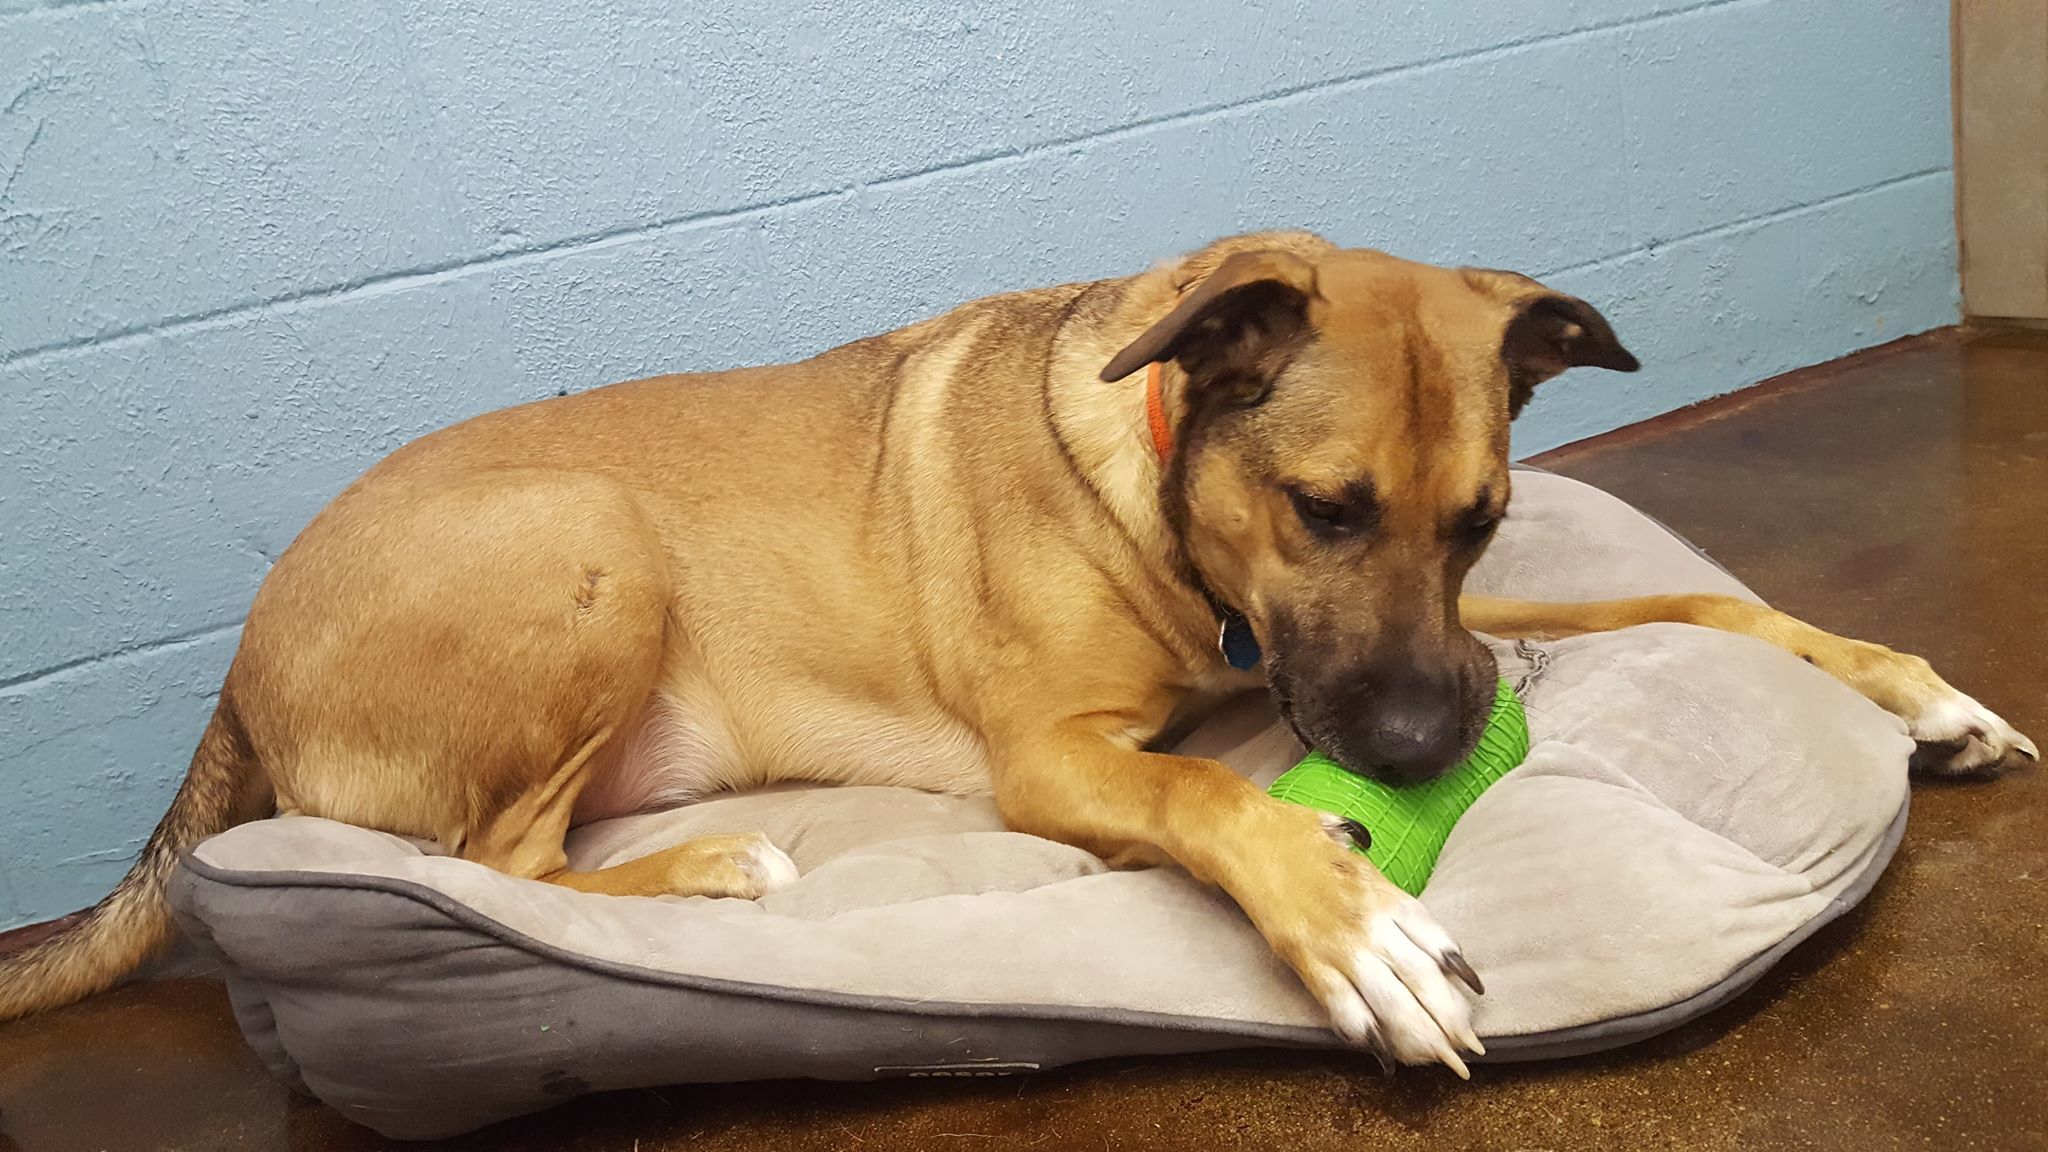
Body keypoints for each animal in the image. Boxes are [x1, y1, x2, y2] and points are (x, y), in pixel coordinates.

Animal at [8, 228, 2039, 1074]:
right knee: (493, 857)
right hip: (583, 542)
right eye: (1323, 509)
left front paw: (1908, 683)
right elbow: (1218, 811)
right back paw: (714, 870)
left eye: (1476, 518)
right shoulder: (1064, 759)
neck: (1164, 505)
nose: (1414, 745)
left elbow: (1692, 600)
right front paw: (1355, 925)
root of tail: (230, 671)